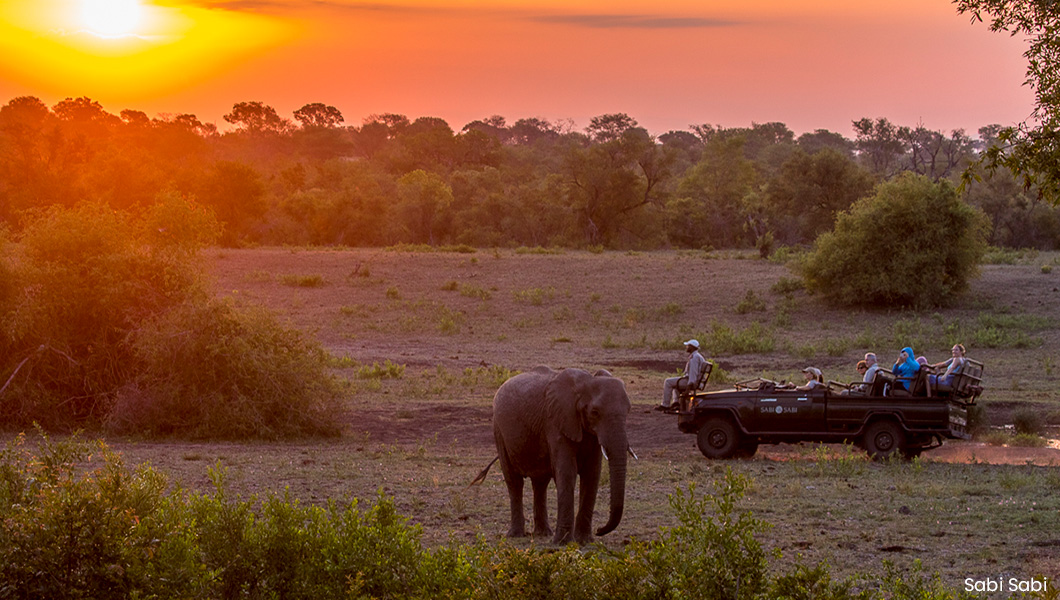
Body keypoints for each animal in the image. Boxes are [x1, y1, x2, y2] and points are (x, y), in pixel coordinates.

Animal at [481, 366, 627, 546]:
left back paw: (543, 533)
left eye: (628, 411)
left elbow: (592, 474)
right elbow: (567, 472)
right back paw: (516, 535)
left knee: (540, 483)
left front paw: (584, 541)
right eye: (595, 412)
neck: (584, 383)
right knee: (514, 481)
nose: (599, 530)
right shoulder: (556, 422)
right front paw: (563, 543)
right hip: (499, 431)